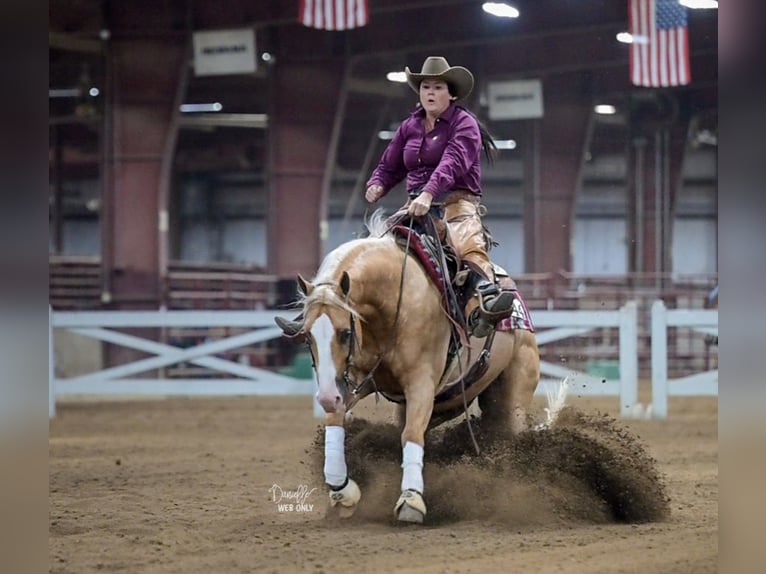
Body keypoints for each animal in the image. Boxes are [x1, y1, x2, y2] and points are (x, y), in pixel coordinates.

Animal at [276, 213, 540, 528]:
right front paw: (342, 490)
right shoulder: (355, 380)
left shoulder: (420, 384)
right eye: (307, 337)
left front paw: (411, 500)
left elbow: (411, 434)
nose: (326, 397)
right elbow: (336, 420)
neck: (393, 301)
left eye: (345, 333)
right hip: (450, 400)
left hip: (515, 393)